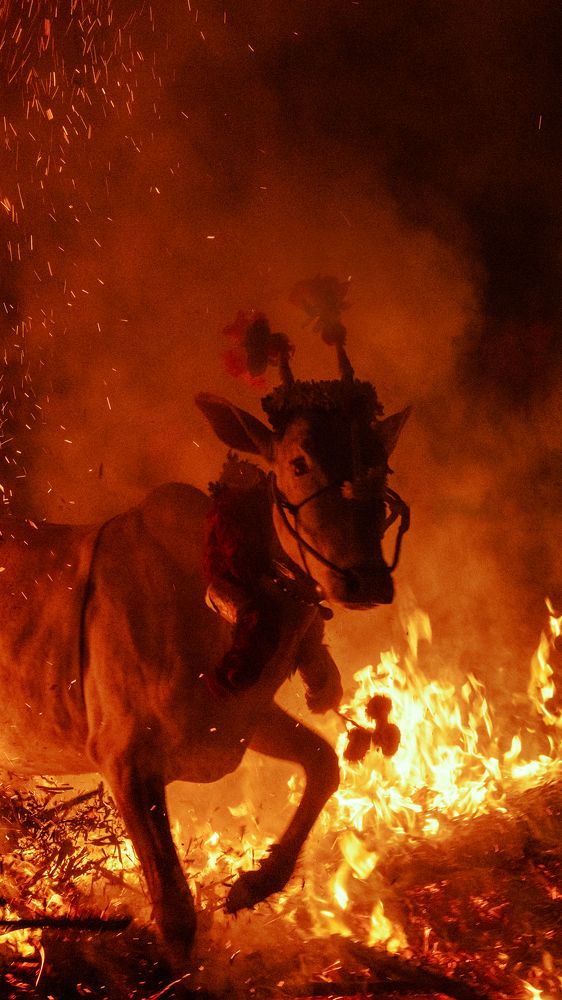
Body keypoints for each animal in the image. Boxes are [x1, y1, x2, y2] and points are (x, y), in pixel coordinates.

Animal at [0, 312, 409, 962]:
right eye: (298, 461)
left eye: (381, 462)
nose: (365, 578)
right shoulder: (124, 760)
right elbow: (175, 911)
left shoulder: (241, 720)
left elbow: (324, 763)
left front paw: (255, 883)